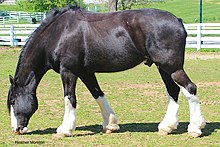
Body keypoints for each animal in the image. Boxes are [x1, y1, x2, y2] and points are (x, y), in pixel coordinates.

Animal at [7, 6, 206, 137]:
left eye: (13, 101)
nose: (16, 129)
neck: (58, 33)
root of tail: (178, 21)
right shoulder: (86, 72)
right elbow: (98, 94)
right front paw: (110, 124)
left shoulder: (69, 71)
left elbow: (69, 98)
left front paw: (65, 129)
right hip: (163, 67)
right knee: (173, 91)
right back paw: (167, 127)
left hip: (172, 67)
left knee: (190, 88)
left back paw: (195, 128)